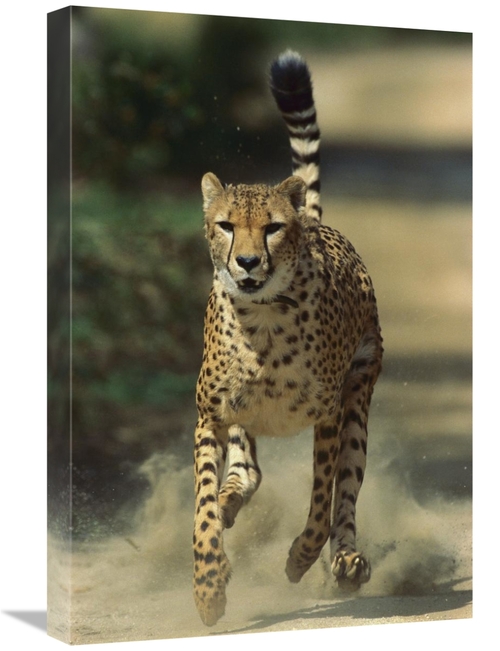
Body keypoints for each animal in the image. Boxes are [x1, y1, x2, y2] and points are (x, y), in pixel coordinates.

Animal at [192, 50, 383, 626]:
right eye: (226, 225)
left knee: (346, 494)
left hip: (359, 396)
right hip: (242, 420)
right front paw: (209, 587)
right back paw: (233, 501)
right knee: (248, 472)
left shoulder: (329, 415)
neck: (263, 322)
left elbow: (322, 501)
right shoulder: (211, 415)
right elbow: (203, 506)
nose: (248, 262)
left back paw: (346, 562)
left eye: (273, 227)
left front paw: (301, 557)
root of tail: (318, 223)